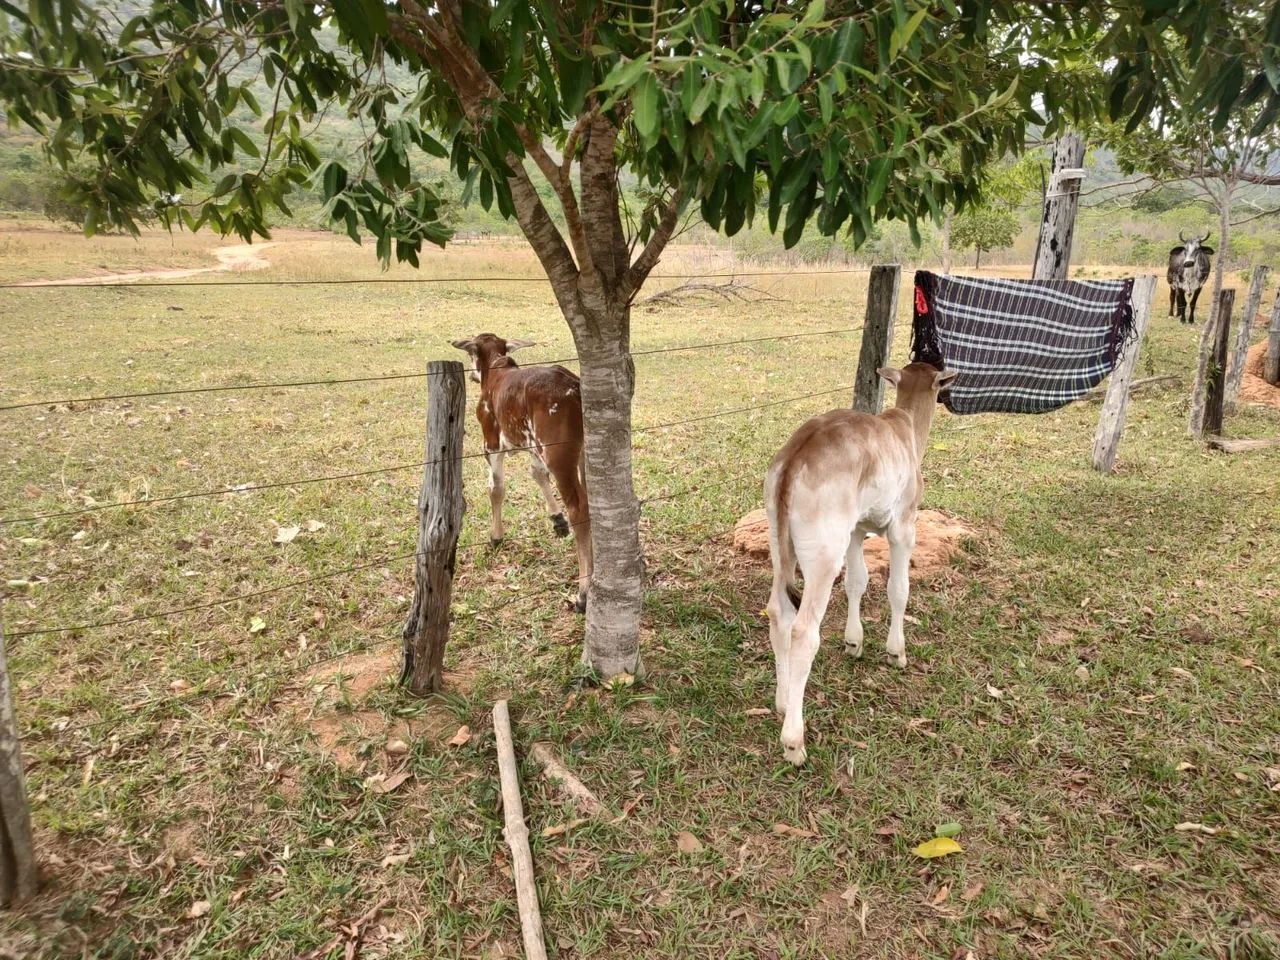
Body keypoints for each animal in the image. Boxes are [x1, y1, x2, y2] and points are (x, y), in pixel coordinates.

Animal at [450, 335, 588, 611]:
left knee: (579, 509)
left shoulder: (491, 442)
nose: (472, 375)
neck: (496, 370)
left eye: (471, 353)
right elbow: (537, 474)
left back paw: (583, 592)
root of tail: (575, 387)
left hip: (559, 455)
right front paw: (556, 519)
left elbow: (496, 489)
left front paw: (496, 536)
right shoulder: (531, 445)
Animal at [762, 360, 957, 768]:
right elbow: (898, 589)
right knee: (803, 630)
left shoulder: (856, 530)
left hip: (780, 542)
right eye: (940, 385)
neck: (907, 430)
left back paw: (784, 702)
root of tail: (794, 460)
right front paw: (896, 651)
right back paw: (794, 740)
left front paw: (855, 641)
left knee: (777, 612)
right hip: (823, 551)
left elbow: (858, 582)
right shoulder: (903, 526)